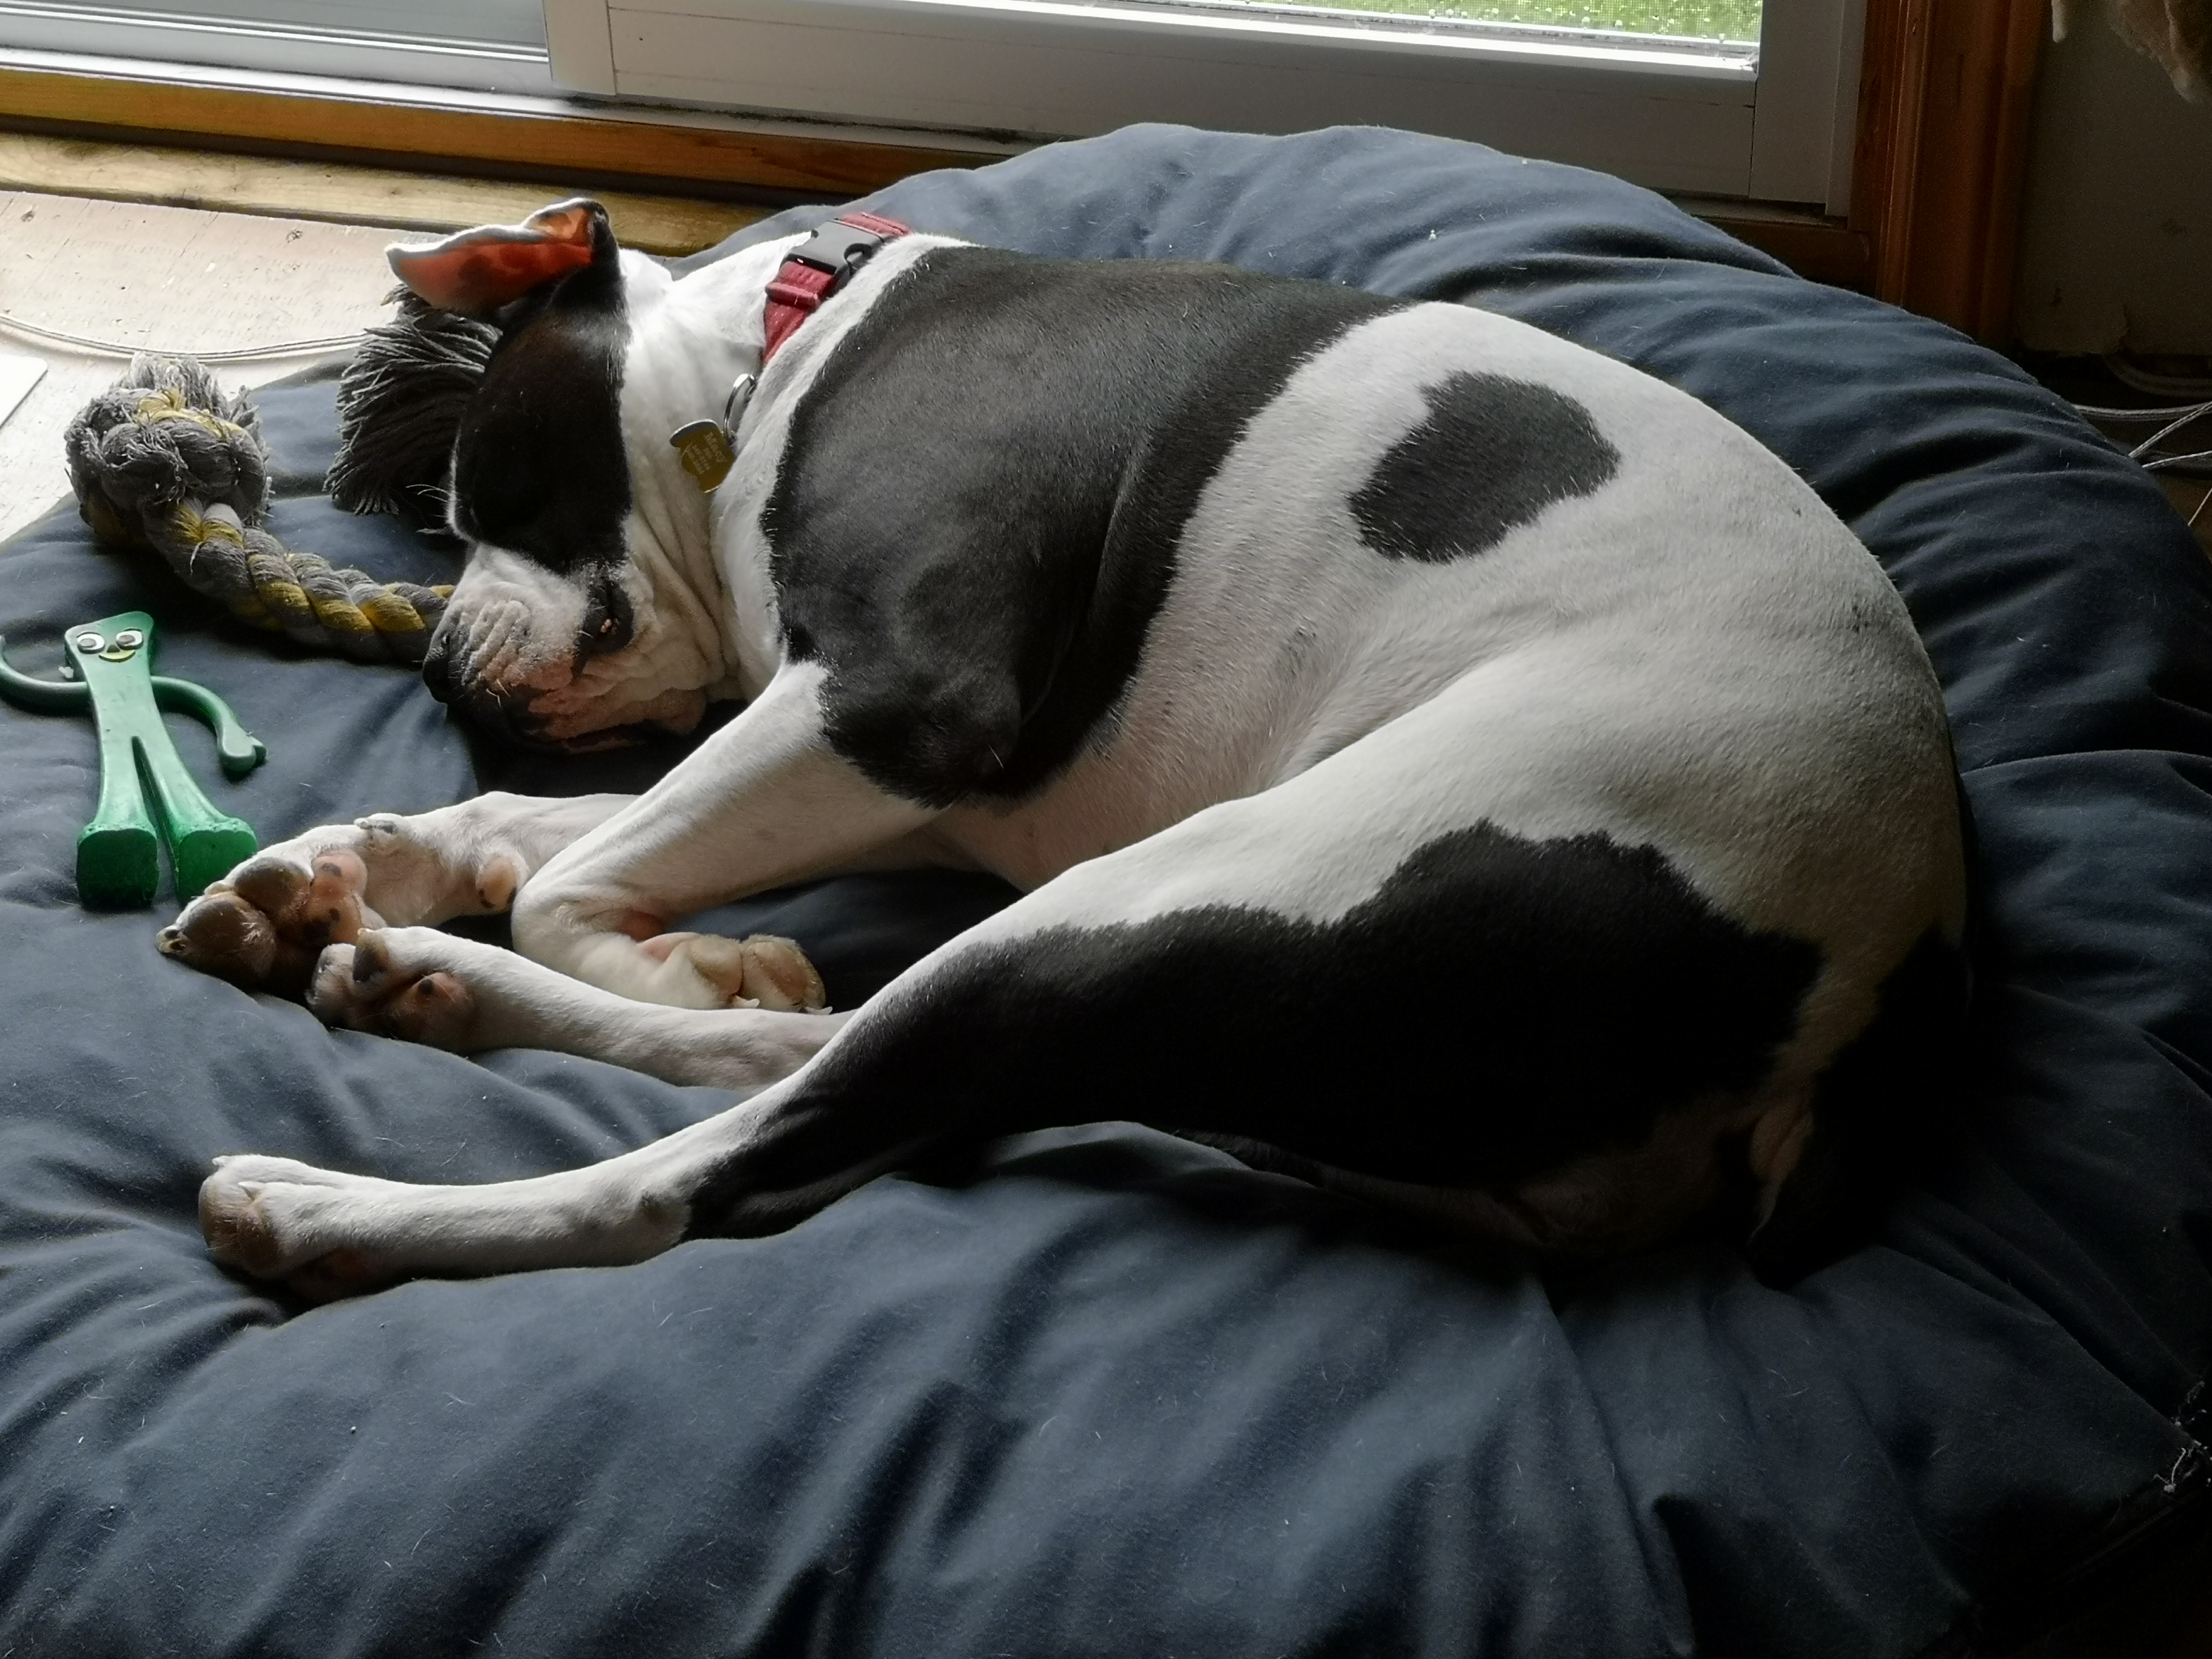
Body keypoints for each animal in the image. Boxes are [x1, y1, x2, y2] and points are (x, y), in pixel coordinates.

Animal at [160, 199, 1965, 1300]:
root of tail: (1860, 1003)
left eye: (481, 495)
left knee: (715, 1170)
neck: (776, 356)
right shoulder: (938, 782)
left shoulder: (902, 704)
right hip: (1124, 923)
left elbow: (576, 876)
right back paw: (416, 974)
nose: (442, 665)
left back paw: (332, 1200)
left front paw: (659, 946)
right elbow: (555, 829)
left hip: (1194, 885)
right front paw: (379, 857)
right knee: (831, 1063)